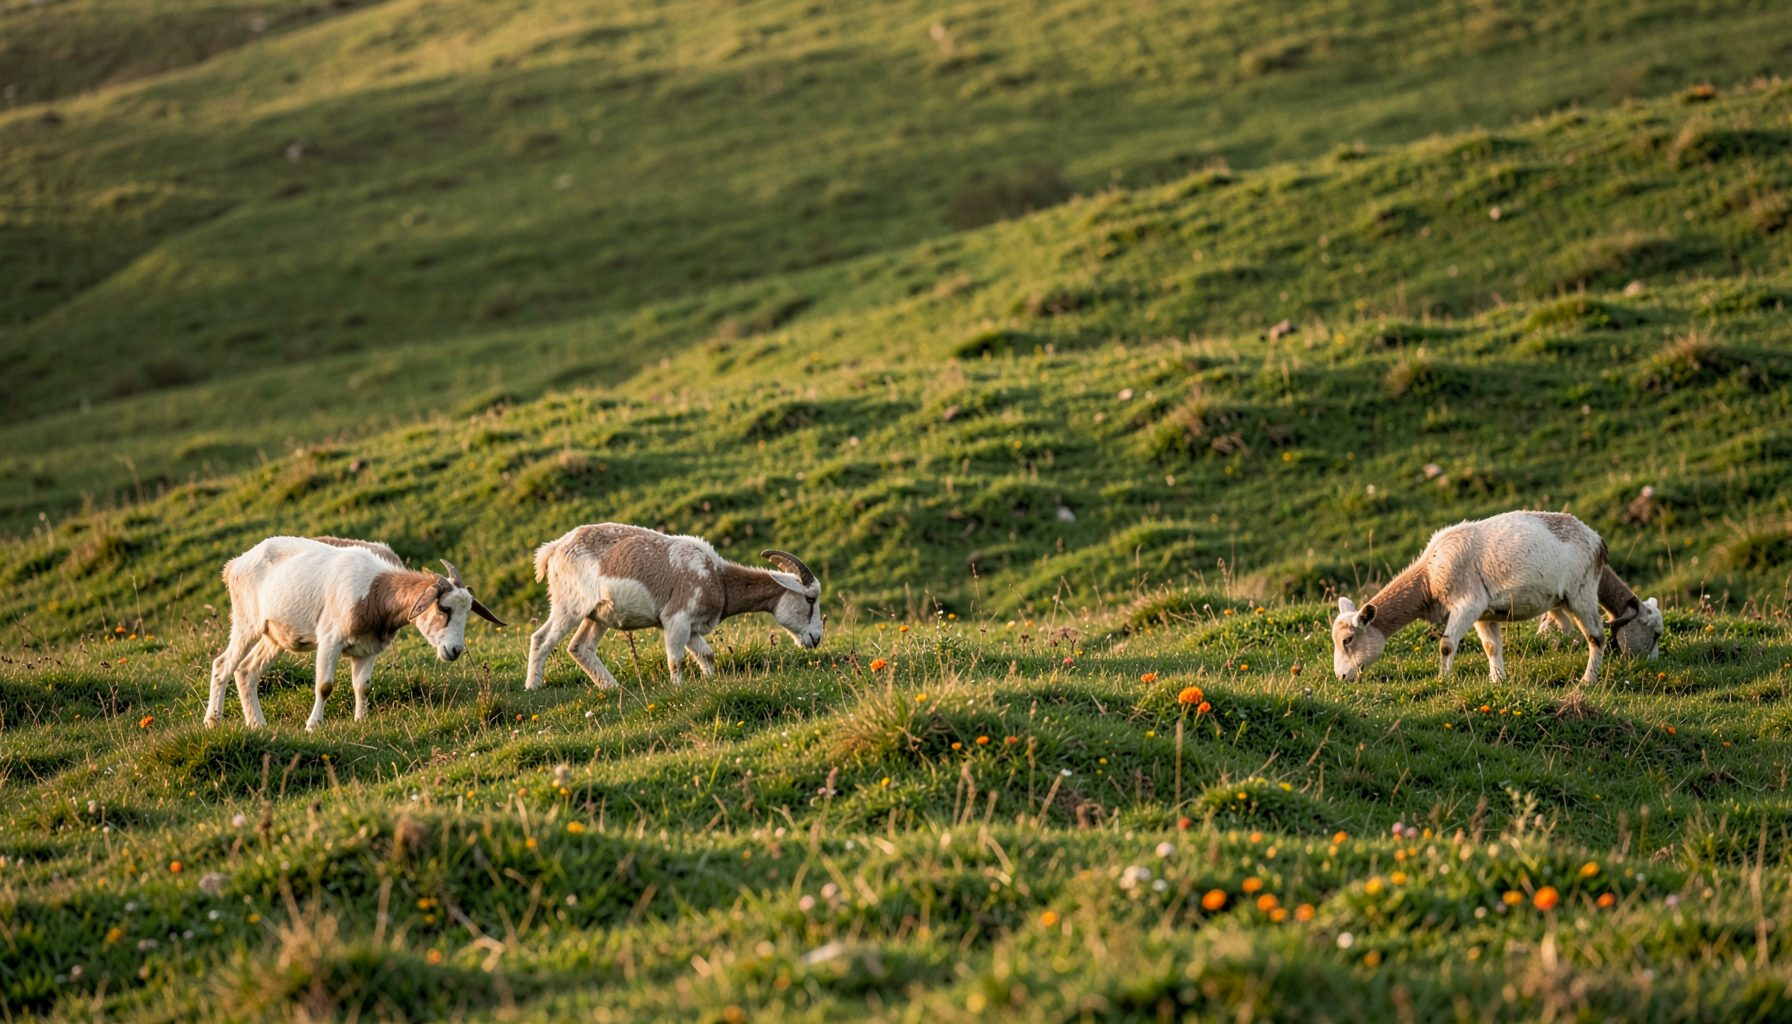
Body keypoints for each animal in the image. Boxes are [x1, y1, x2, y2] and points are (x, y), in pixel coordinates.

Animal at [206, 536, 504, 730]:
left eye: (468, 612)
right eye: (443, 608)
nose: (454, 650)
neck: (374, 592)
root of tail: (234, 565)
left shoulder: (367, 648)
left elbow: (363, 686)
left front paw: (361, 720)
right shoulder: (330, 640)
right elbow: (325, 686)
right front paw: (313, 725)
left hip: (275, 635)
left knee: (246, 671)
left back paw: (257, 724)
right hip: (247, 622)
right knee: (222, 665)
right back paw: (212, 721)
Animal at [525, 523, 822, 691]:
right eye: (810, 598)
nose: (817, 638)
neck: (718, 578)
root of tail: (552, 550)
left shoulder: (692, 627)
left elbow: (707, 655)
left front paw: (710, 681)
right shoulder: (676, 620)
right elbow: (675, 660)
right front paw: (678, 688)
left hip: (596, 615)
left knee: (580, 648)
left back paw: (612, 687)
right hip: (570, 605)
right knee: (541, 639)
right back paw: (533, 686)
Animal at [1331, 511, 1633, 684]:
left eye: (1348, 640)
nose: (1341, 676)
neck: (1429, 578)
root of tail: (1597, 541)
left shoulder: (1467, 604)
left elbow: (1446, 645)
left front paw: (1444, 680)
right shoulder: (1484, 613)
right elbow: (1491, 647)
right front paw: (1497, 681)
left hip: (1582, 592)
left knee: (1596, 638)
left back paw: (1588, 681)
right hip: (1566, 599)